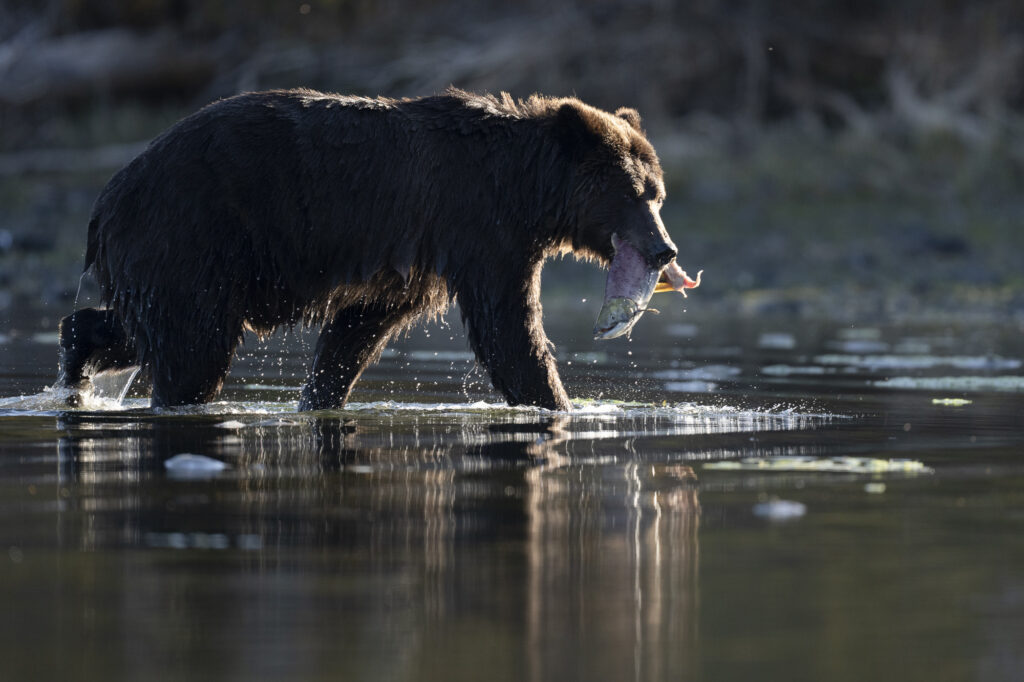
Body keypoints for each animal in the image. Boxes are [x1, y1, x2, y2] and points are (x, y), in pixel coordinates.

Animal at [57, 88, 691, 411]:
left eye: (657, 192)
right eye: (634, 193)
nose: (665, 250)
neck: (526, 187)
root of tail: (104, 201)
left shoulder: (413, 263)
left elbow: (357, 331)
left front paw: (320, 394)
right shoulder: (481, 231)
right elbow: (509, 328)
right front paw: (560, 403)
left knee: (143, 328)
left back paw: (77, 362)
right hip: (193, 236)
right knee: (192, 348)